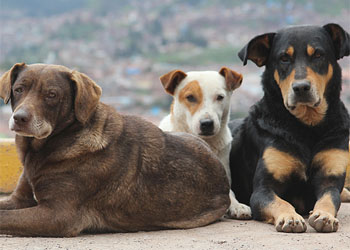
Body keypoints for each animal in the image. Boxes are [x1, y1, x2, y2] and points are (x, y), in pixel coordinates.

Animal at [0, 62, 230, 236]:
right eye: (19, 89)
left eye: (51, 95)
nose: (20, 118)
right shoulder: (19, 199)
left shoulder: (57, 215)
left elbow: (4, 217)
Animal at [159, 67, 252, 219]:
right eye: (190, 97)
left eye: (220, 97)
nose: (207, 123)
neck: (205, 144)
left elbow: (229, 193)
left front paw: (237, 206)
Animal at [230, 23, 350, 232]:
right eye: (284, 58)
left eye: (318, 55)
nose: (301, 88)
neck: (307, 126)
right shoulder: (263, 189)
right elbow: (280, 202)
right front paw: (290, 217)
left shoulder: (330, 179)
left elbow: (329, 199)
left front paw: (324, 216)